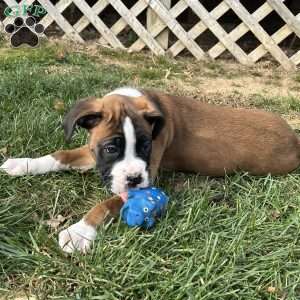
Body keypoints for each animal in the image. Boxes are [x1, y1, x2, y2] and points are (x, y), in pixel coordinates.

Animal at [0, 87, 300, 253]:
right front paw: (24, 163)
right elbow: (61, 155)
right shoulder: (92, 151)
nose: (134, 179)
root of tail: (295, 139)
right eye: (111, 148)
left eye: (146, 145)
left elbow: (105, 204)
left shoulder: (147, 179)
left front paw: (80, 232)